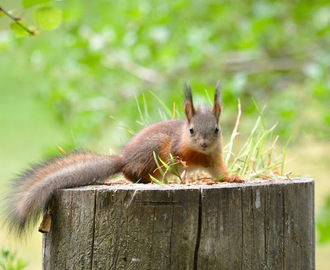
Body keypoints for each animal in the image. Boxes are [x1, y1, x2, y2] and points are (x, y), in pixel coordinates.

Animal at [2, 83, 242, 234]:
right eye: (191, 130)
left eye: (217, 129)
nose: (204, 143)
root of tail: (123, 159)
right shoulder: (178, 150)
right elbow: (188, 159)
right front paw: (197, 167)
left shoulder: (216, 158)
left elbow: (219, 172)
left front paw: (233, 179)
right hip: (155, 154)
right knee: (133, 174)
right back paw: (151, 181)